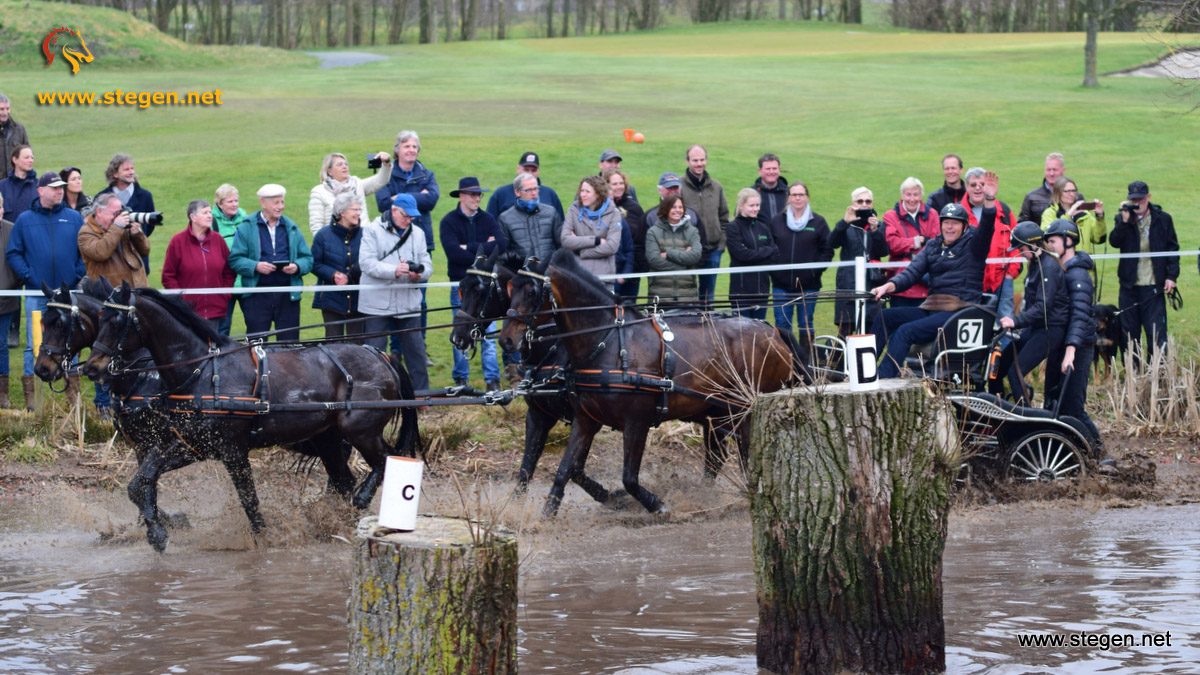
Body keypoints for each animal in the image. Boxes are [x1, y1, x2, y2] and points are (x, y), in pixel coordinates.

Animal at [35, 277, 357, 540]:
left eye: (60, 322)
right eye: (43, 322)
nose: (42, 368)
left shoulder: (173, 441)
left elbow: (148, 484)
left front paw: (162, 524)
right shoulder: (155, 444)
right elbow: (143, 483)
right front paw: (153, 523)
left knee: (343, 476)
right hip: (319, 439)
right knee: (342, 477)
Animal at [79, 281, 417, 550]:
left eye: (117, 319)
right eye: (99, 317)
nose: (92, 368)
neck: (202, 371)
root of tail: (381, 355)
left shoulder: (232, 450)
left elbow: (249, 499)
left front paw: (264, 537)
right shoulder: (192, 444)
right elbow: (141, 481)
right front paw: (157, 533)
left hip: (361, 430)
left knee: (387, 460)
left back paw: (360, 500)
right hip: (329, 439)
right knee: (345, 479)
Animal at [451, 249, 619, 502]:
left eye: (479, 289)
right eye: (461, 286)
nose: (457, 337)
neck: (554, 347)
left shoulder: (587, 417)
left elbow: (574, 470)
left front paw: (608, 495)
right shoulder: (539, 415)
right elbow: (527, 469)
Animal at [501, 248, 801, 514]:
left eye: (531, 291)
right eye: (508, 290)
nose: (506, 339)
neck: (608, 340)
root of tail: (773, 332)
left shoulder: (637, 422)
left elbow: (628, 478)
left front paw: (656, 505)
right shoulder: (583, 419)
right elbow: (563, 469)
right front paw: (546, 515)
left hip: (746, 409)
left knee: (749, 454)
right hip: (718, 413)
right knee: (718, 457)